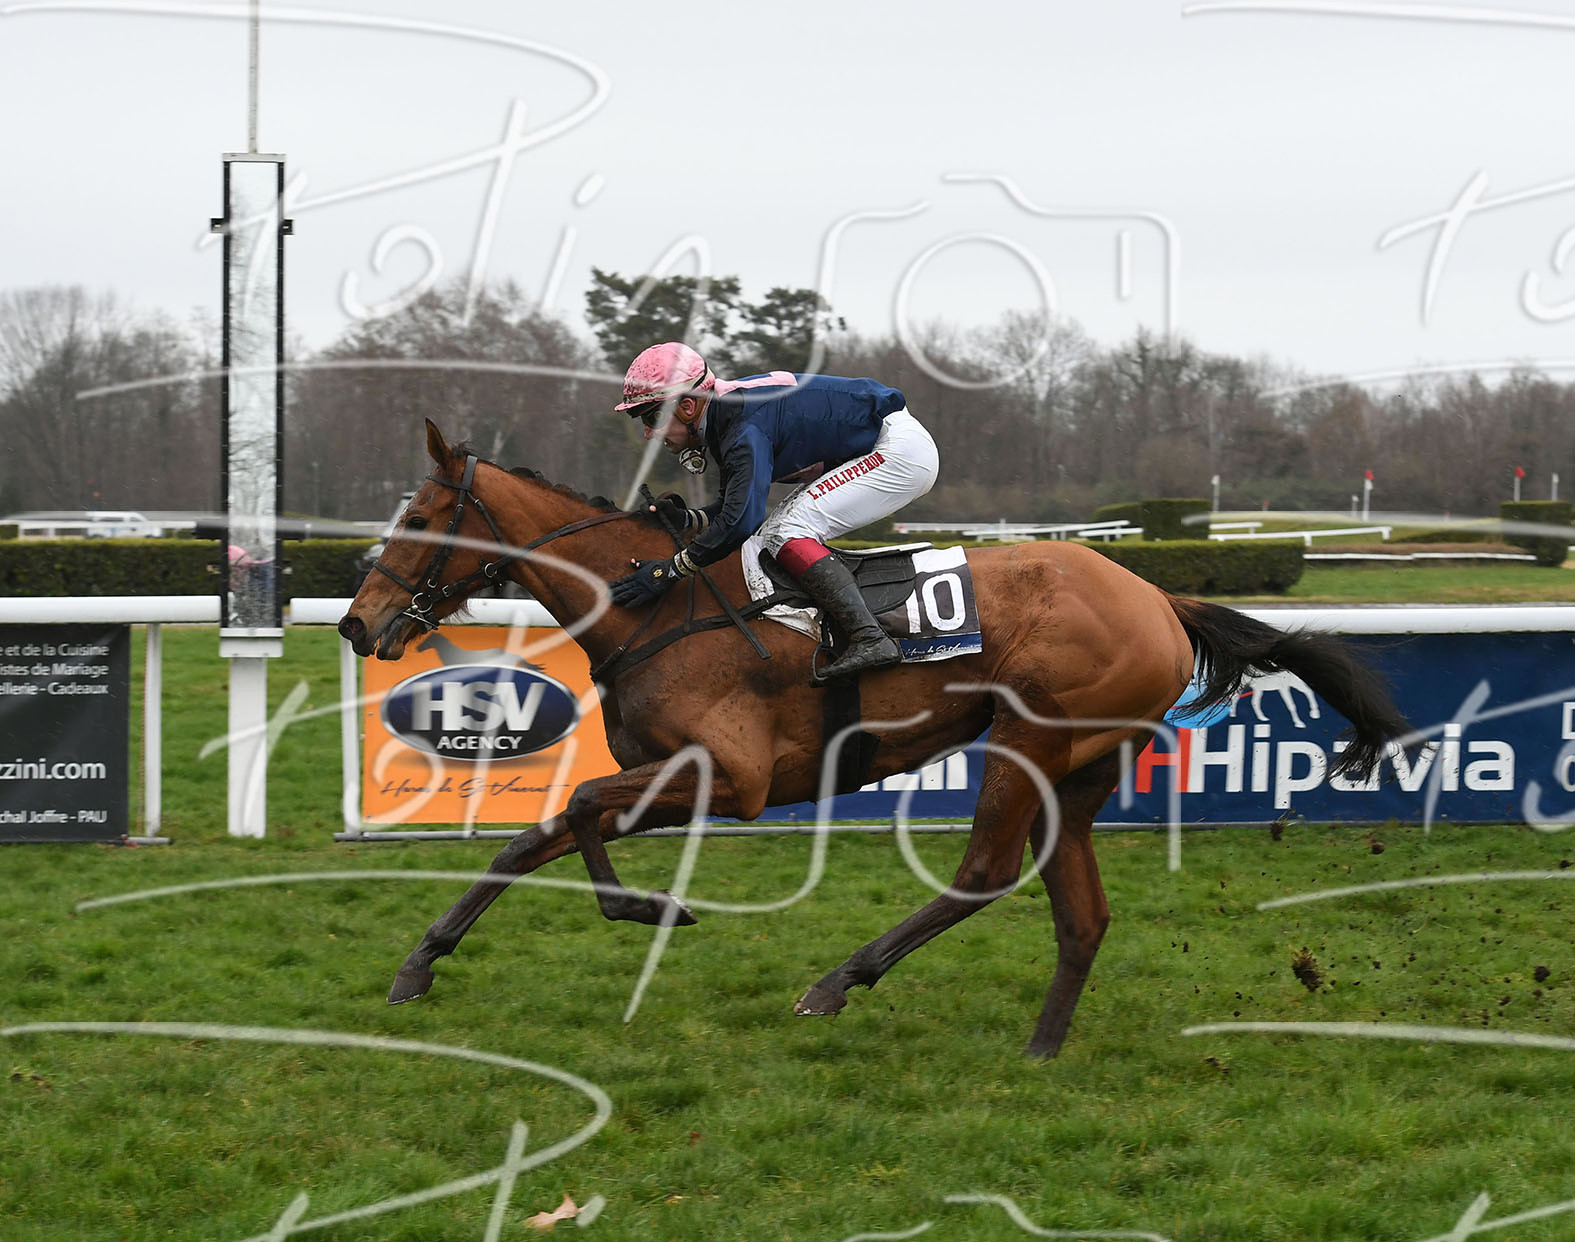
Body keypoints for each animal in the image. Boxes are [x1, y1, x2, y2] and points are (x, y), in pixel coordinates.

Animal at [338, 420, 1411, 1058]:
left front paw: (649, 909)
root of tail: (1157, 595)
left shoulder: (727, 777)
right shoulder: (665, 772)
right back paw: (1041, 1046)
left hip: (1028, 737)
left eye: (423, 516)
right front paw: (420, 962)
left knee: (984, 872)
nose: (356, 625)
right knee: (1081, 911)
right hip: (1081, 766)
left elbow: (579, 809)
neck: (654, 607)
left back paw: (836, 983)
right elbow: (532, 839)